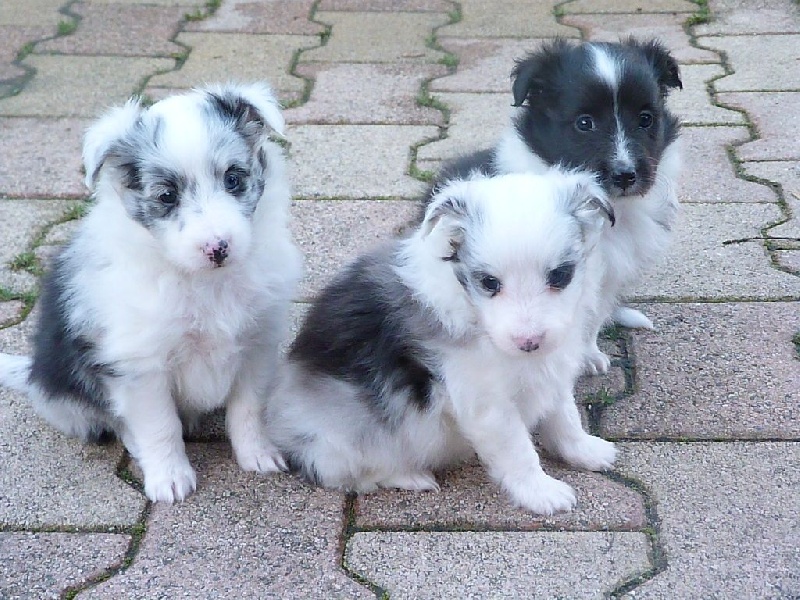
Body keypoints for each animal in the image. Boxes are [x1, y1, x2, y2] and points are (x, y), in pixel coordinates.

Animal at [0, 81, 304, 502]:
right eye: (166, 196)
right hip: (68, 397)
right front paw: (170, 478)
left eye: (233, 179)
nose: (218, 248)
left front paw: (258, 455)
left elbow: (248, 406)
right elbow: (160, 425)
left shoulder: (258, 342)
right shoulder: (140, 366)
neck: (200, 279)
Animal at [266, 170, 616, 516]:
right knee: (342, 471)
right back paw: (411, 476)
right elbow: (517, 448)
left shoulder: (552, 368)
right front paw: (540, 491)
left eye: (560, 276)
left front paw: (585, 450)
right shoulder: (484, 401)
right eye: (489, 282)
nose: (528, 342)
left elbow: (564, 415)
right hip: (343, 437)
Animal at [428, 37, 684, 372]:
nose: (626, 174)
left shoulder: (605, 277)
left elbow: (591, 318)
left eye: (645, 119)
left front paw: (588, 356)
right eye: (584, 123)